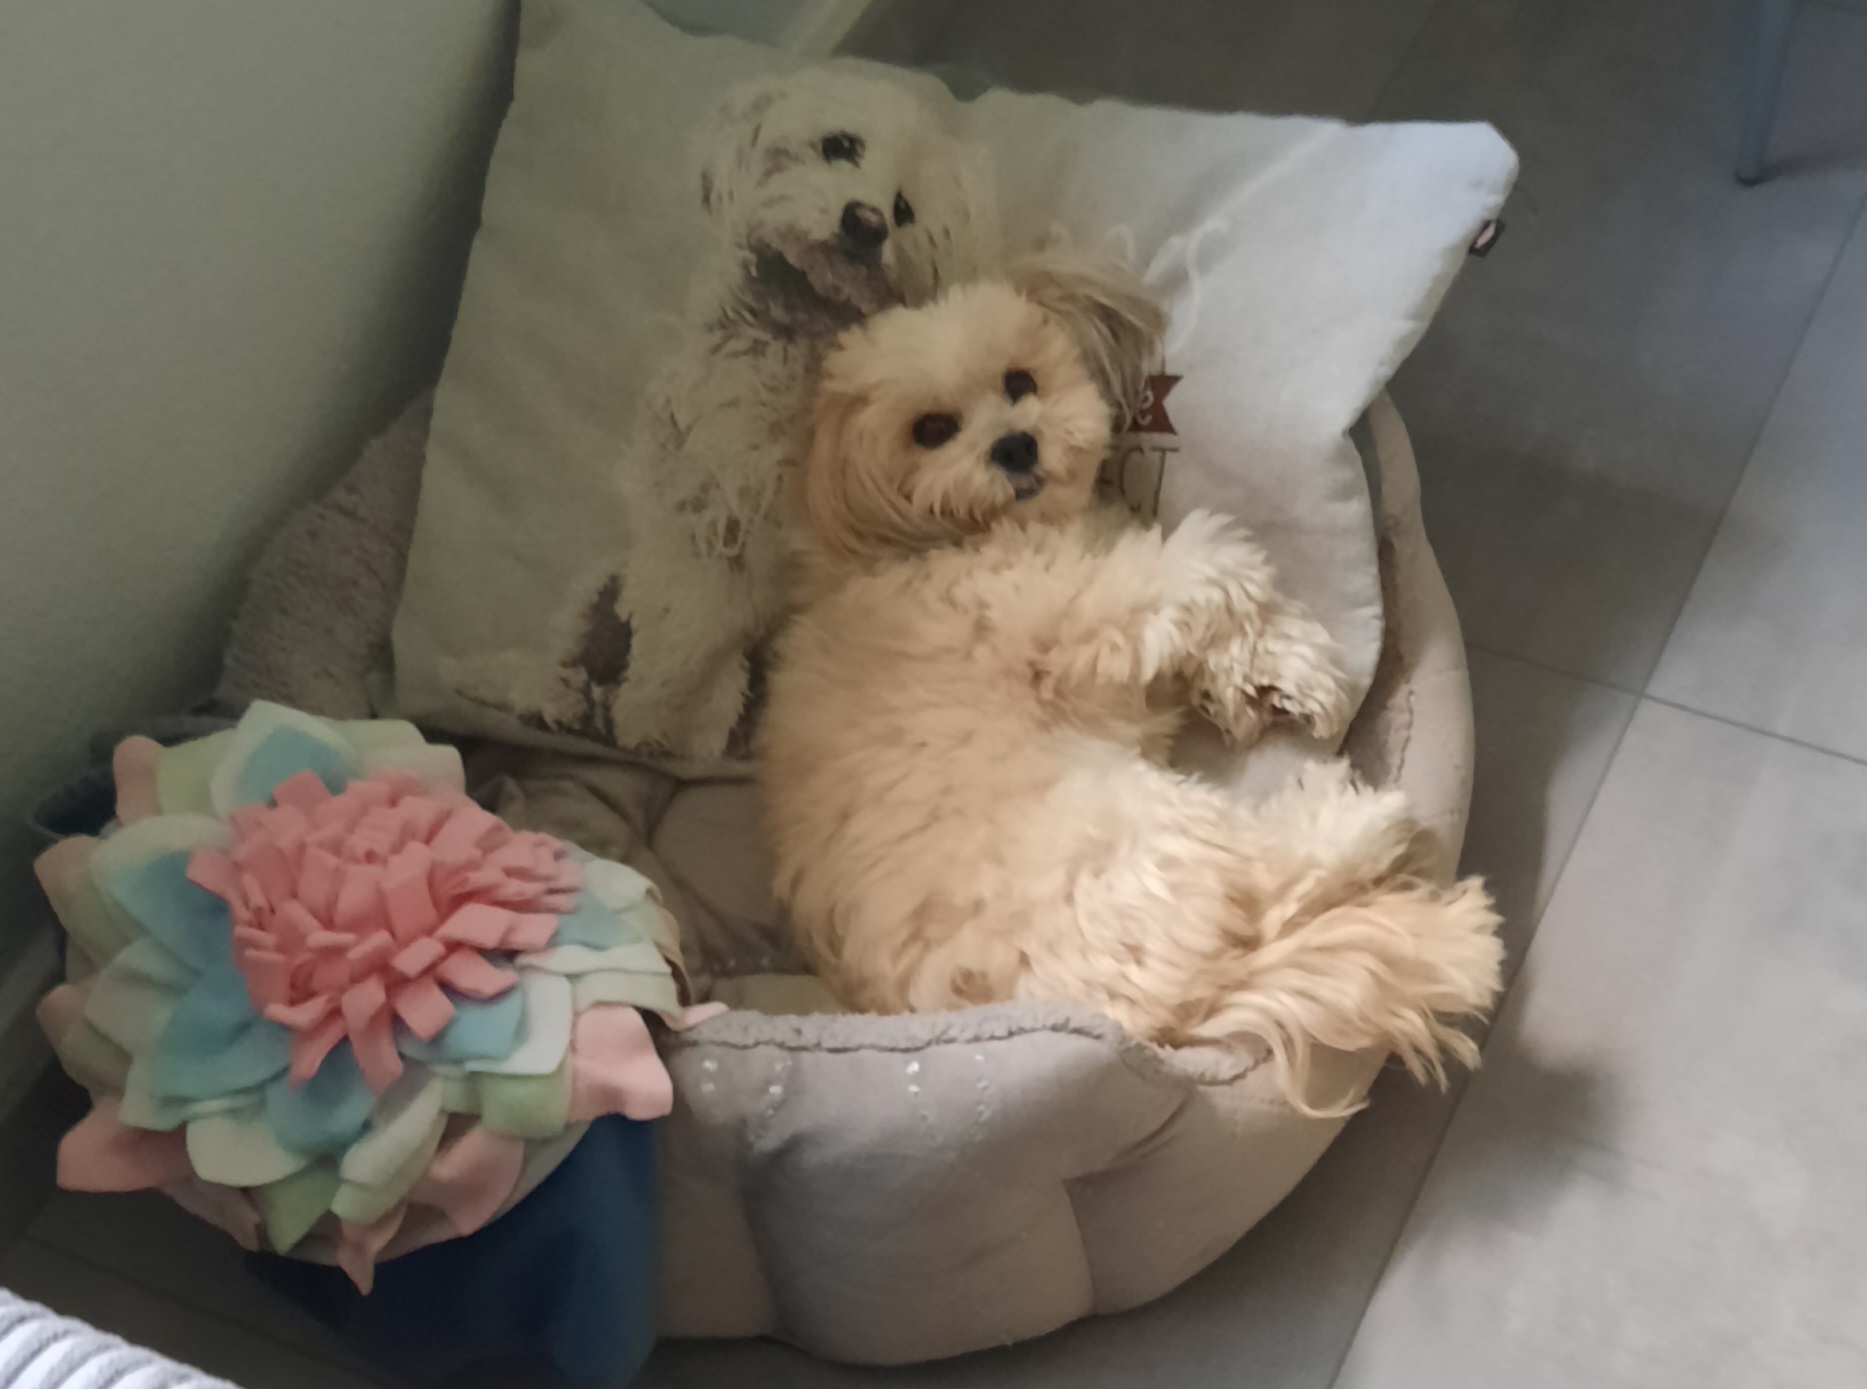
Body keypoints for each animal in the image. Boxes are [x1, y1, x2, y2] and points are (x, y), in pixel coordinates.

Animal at [482, 73, 995, 768]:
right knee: (581, 655)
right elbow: (686, 637)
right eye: (841, 145)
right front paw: (659, 724)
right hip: (606, 584)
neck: (796, 329)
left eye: (904, 210)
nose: (867, 223)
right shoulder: (704, 514)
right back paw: (562, 699)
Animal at [760, 260, 1503, 1112]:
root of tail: (1153, 1015)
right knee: (1269, 876)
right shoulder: (1074, 608)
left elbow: (1208, 632)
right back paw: (1354, 817)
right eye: (932, 429)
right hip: (1146, 829)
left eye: (1020, 382)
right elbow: (1206, 565)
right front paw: (1283, 656)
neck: (929, 537)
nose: (1014, 443)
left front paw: (1272, 678)